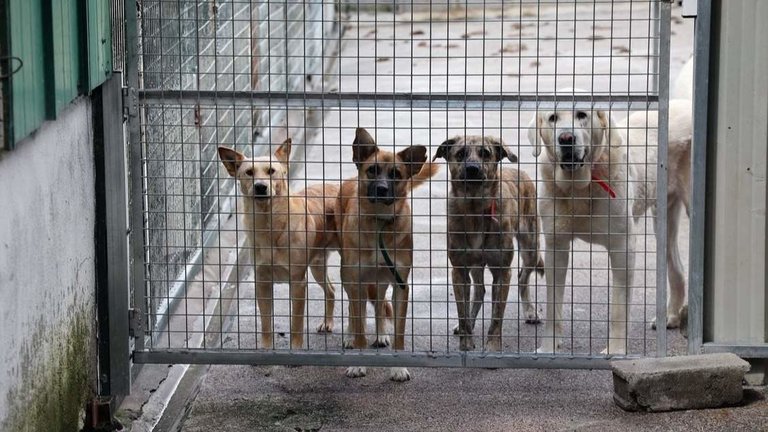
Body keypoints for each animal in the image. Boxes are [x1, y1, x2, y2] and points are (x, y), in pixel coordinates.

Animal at [216, 142, 336, 352]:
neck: (269, 226)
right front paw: (266, 349)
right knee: (331, 290)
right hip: (318, 266)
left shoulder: (298, 282)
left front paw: (295, 349)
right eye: (249, 172)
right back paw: (327, 322)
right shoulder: (262, 282)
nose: (260, 187)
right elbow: (266, 323)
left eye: (271, 171)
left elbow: (296, 323)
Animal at [336, 128, 438, 382]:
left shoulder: (401, 284)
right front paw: (358, 363)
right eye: (372, 170)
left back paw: (381, 334)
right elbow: (360, 325)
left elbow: (399, 331)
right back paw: (350, 337)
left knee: (380, 301)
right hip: (347, 276)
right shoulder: (356, 281)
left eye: (396, 174)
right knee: (354, 311)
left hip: (382, 278)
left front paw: (398, 367)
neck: (380, 223)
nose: (381, 189)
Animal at [436, 135, 544, 352]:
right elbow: (462, 311)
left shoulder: (502, 271)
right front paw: (466, 341)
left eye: (485, 153)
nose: (472, 169)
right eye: (460, 153)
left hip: (531, 247)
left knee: (523, 278)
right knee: (479, 290)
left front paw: (493, 346)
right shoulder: (459, 270)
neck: (475, 209)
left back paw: (530, 311)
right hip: (476, 265)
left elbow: (496, 316)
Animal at [528, 108, 636, 354]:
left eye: (581, 115)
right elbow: (553, 304)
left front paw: (616, 351)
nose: (566, 138)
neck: (578, 189)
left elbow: (619, 307)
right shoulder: (555, 246)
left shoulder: (623, 247)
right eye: (553, 118)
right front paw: (549, 348)